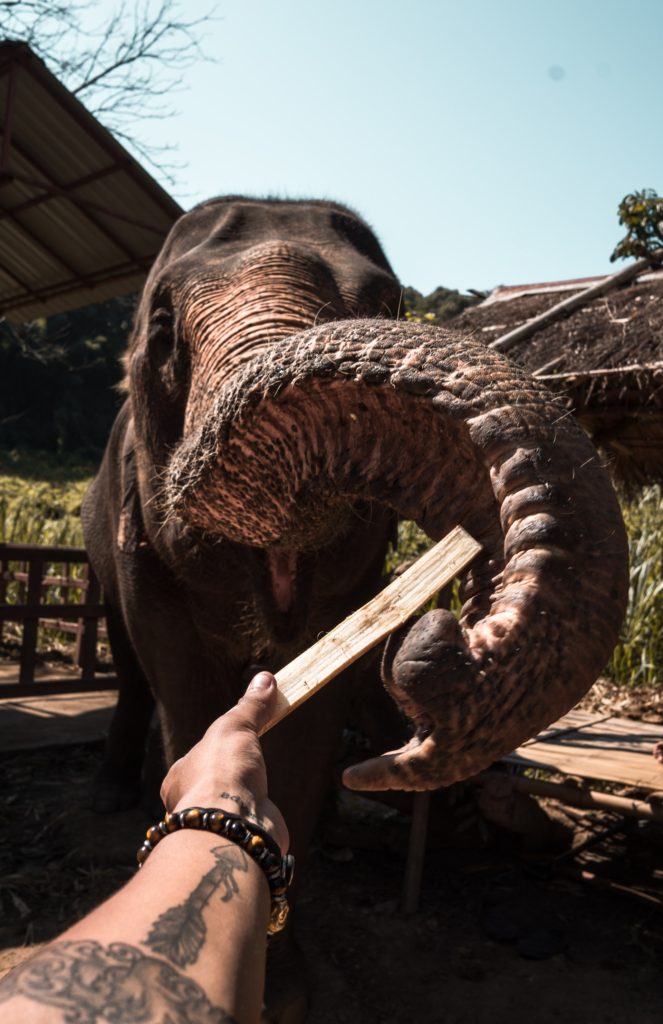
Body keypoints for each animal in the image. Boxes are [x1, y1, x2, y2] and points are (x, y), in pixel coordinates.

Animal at [81, 195, 627, 1019]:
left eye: (387, 302)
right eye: (162, 329)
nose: (442, 632)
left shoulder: (355, 579)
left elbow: (307, 742)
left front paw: (279, 989)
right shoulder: (136, 538)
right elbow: (184, 690)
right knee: (128, 664)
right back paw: (115, 792)